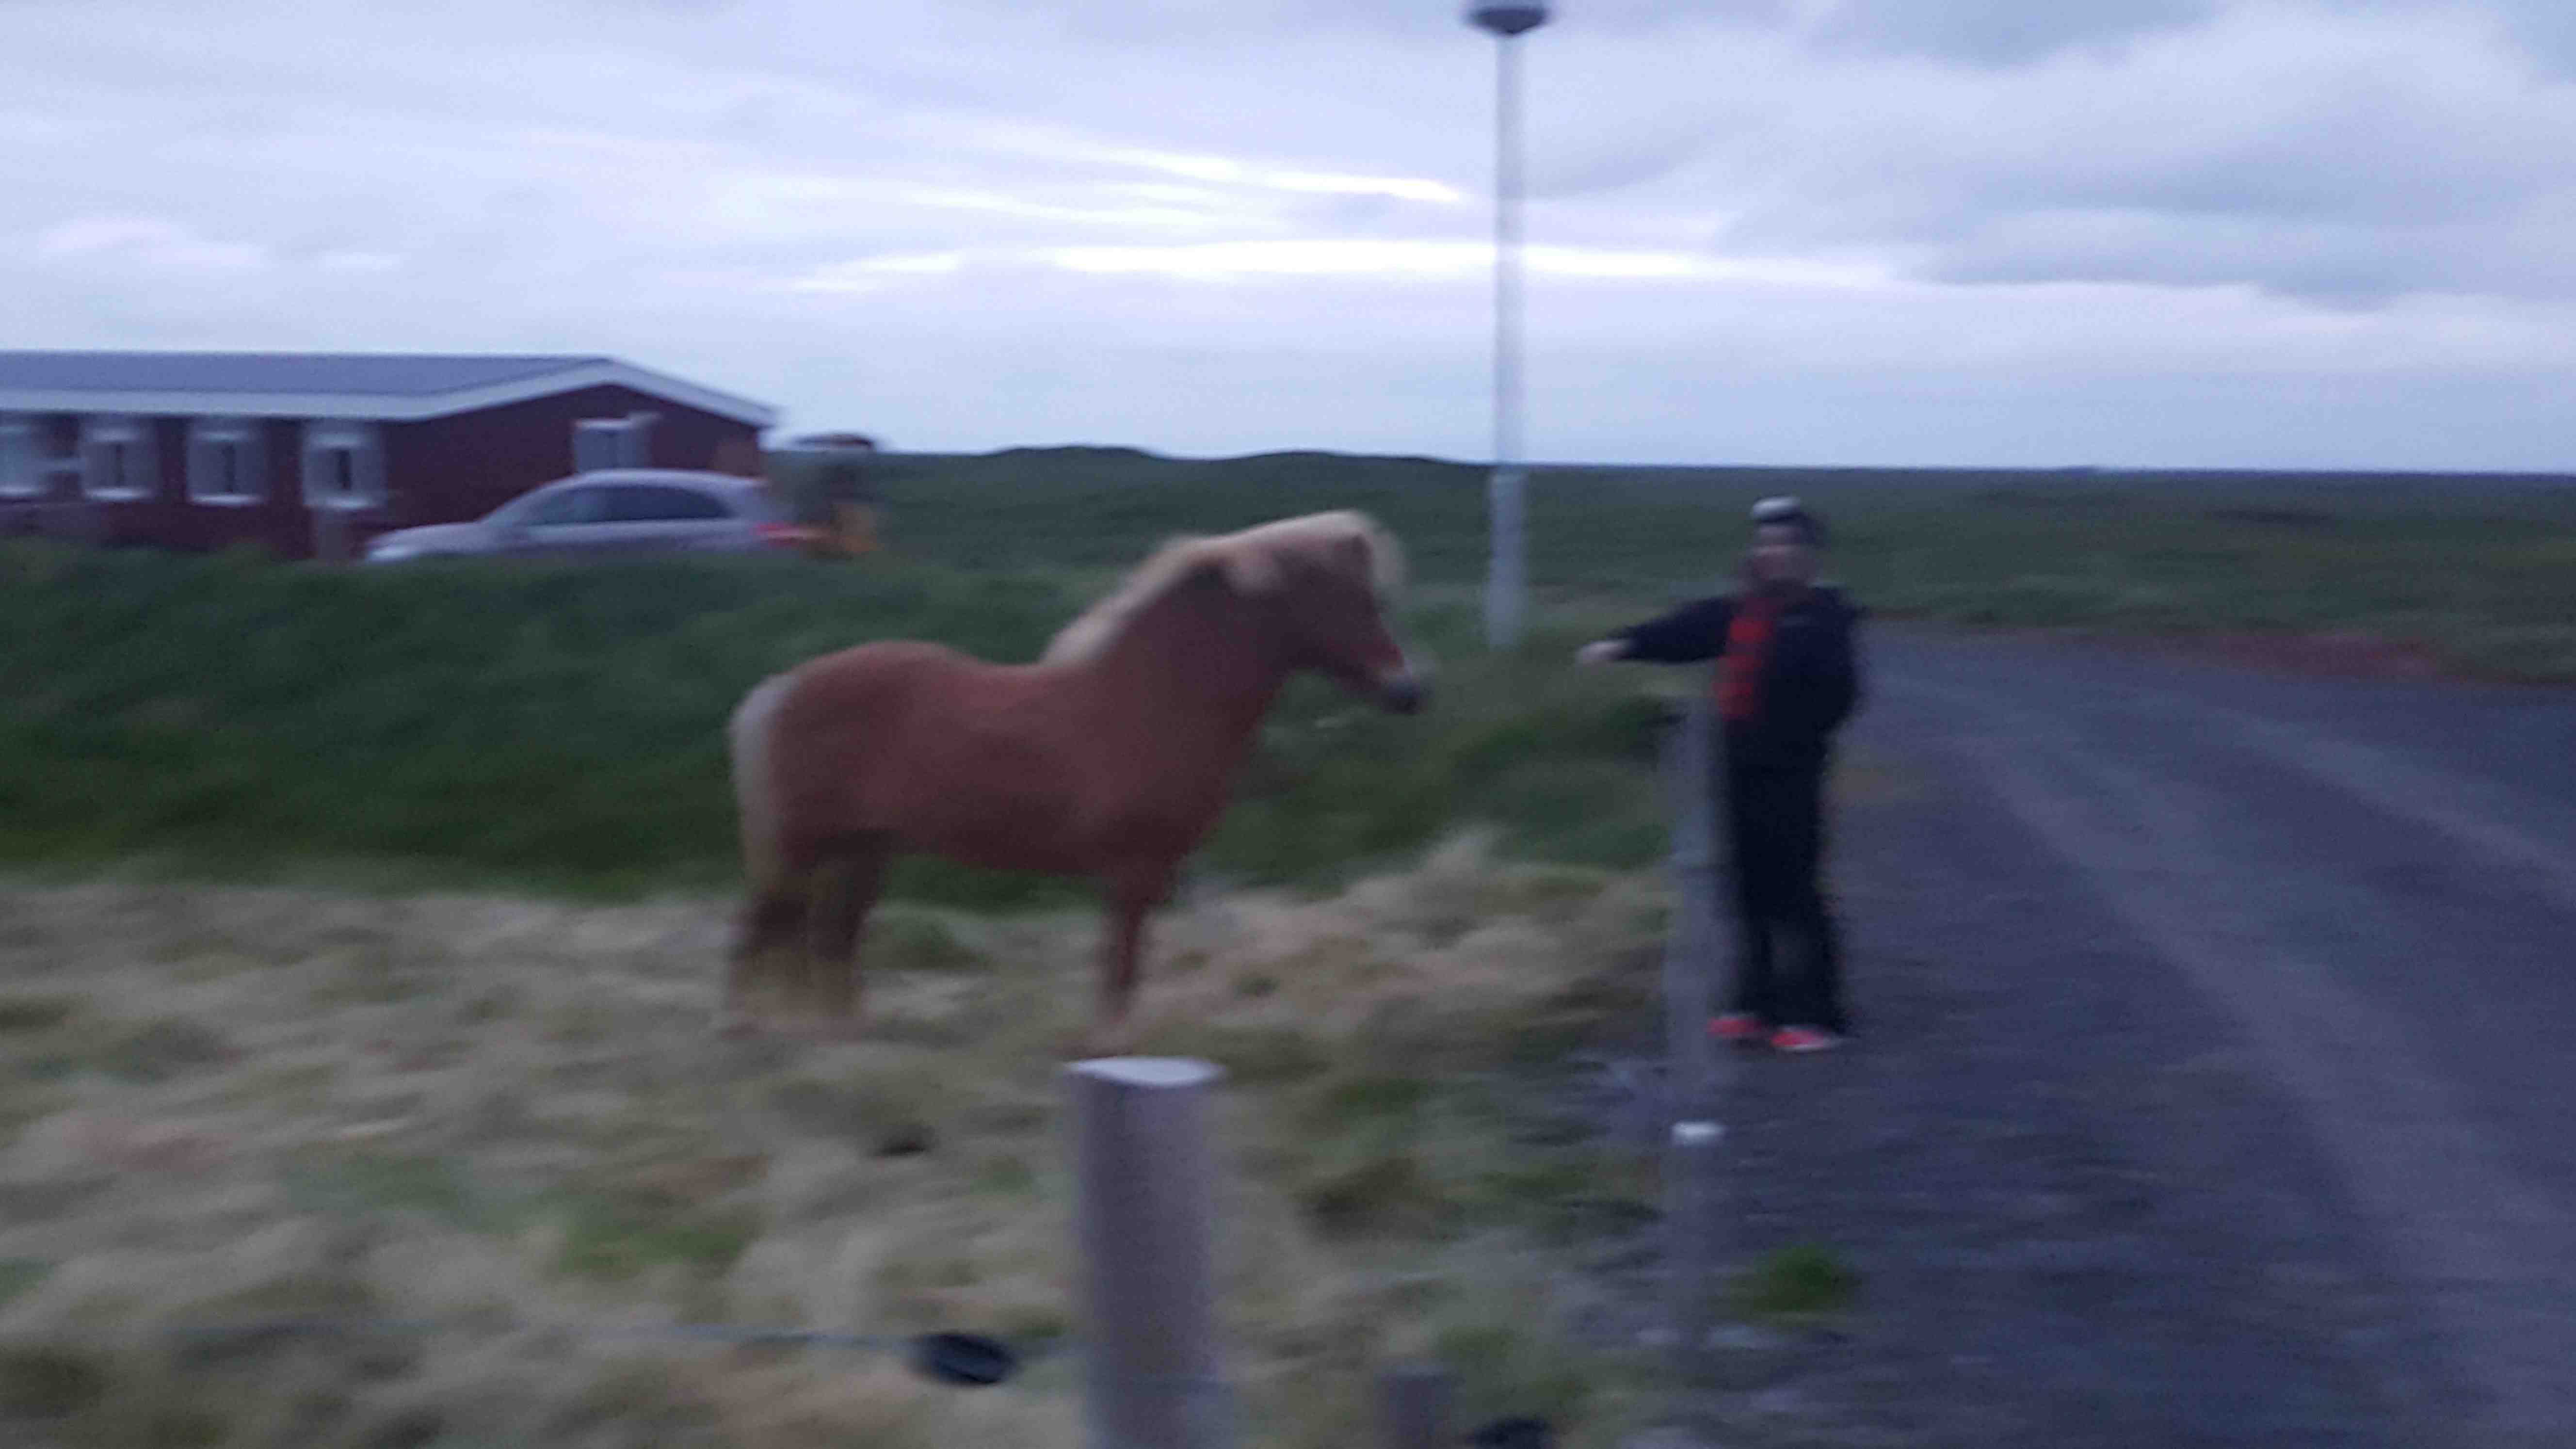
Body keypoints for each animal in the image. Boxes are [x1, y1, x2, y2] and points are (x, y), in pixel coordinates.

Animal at [721, 509, 1428, 1047]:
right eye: (1356, 601)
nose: (1409, 692)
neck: (1154, 698)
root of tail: (783, 688)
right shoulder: (1134, 872)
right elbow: (1120, 971)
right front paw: (1112, 1048)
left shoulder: (1155, 872)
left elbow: (1128, 966)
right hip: (804, 846)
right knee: (761, 932)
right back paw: (749, 1036)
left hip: (862, 849)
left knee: (829, 939)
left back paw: (844, 1040)